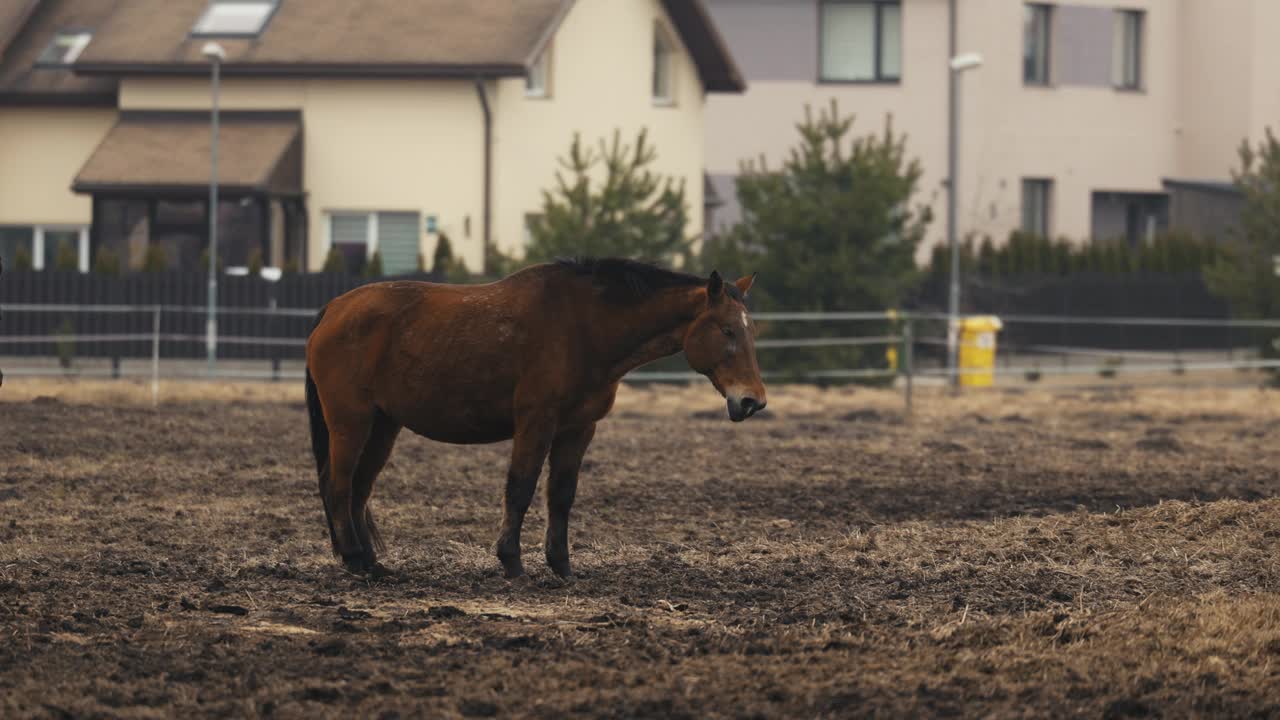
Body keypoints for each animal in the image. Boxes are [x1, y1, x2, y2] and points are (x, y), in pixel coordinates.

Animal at [304, 257, 762, 576]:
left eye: (749, 331)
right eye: (726, 330)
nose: (753, 401)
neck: (584, 325)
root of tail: (334, 309)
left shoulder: (578, 429)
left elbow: (561, 495)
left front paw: (561, 565)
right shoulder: (536, 423)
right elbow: (520, 488)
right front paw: (511, 560)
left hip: (383, 426)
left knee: (359, 488)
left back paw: (371, 562)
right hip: (351, 422)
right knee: (338, 484)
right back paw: (354, 558)